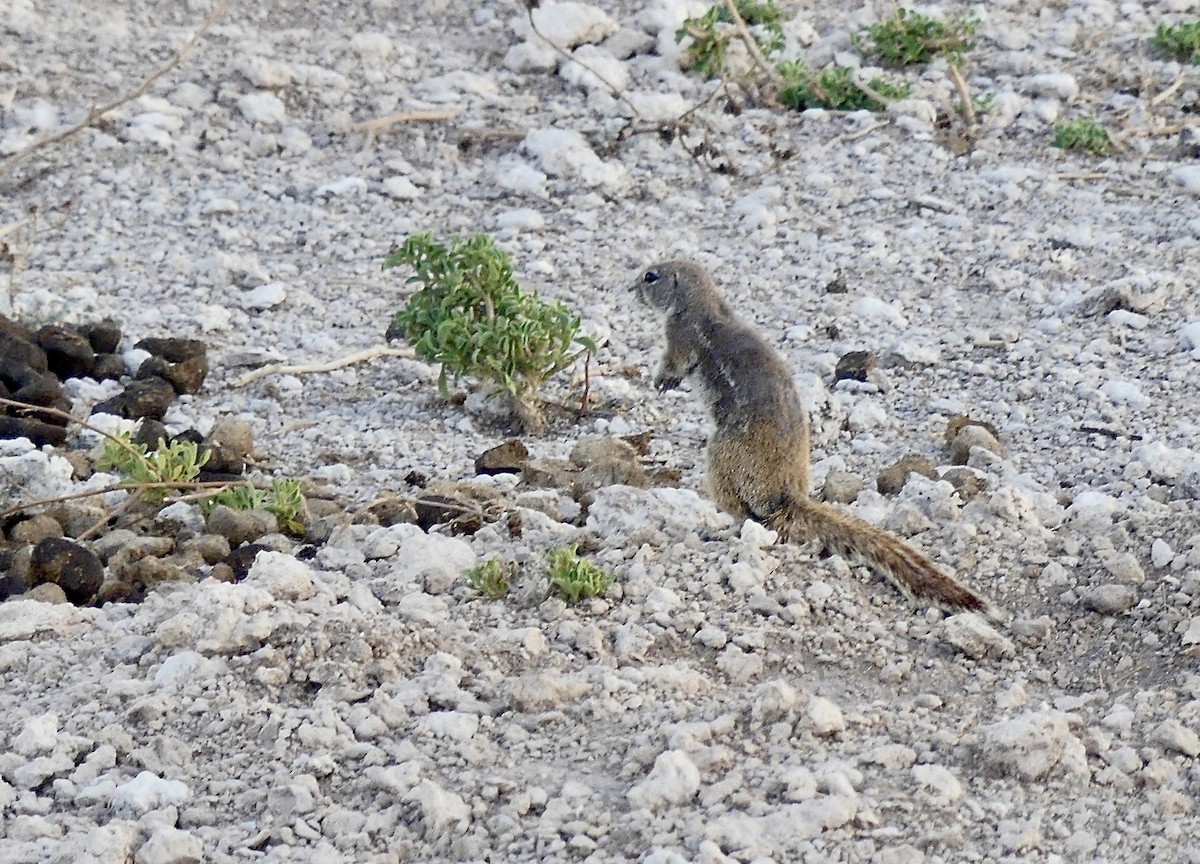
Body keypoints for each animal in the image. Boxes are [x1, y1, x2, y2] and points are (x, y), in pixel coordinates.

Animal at [632, 259, 989, 614]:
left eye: (651, 276)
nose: (630, 289)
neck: (701, 303)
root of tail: (788, 494)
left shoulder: (679, 337)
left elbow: (673, 363)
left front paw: (660, 381)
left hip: (720, 458)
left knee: (747, 515)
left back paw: (718, 531)